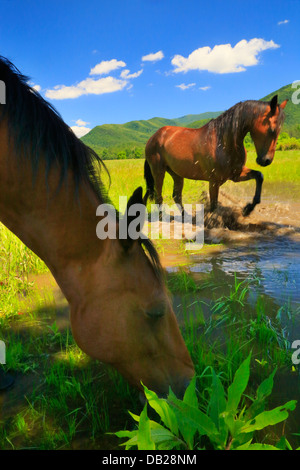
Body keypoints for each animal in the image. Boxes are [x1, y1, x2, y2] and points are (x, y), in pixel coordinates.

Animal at [144, 96, 288, 217]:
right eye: (272, 130)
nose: (266, 160)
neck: (222, 142)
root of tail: (154, 137)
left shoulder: (236, 175)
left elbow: (259, 176)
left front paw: (248, 209)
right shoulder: (214, 182)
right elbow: (213, 206)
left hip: (177, 174)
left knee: (176, 196)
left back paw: (186, 217)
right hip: (159, 172)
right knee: (158, 196)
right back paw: (162, 217)